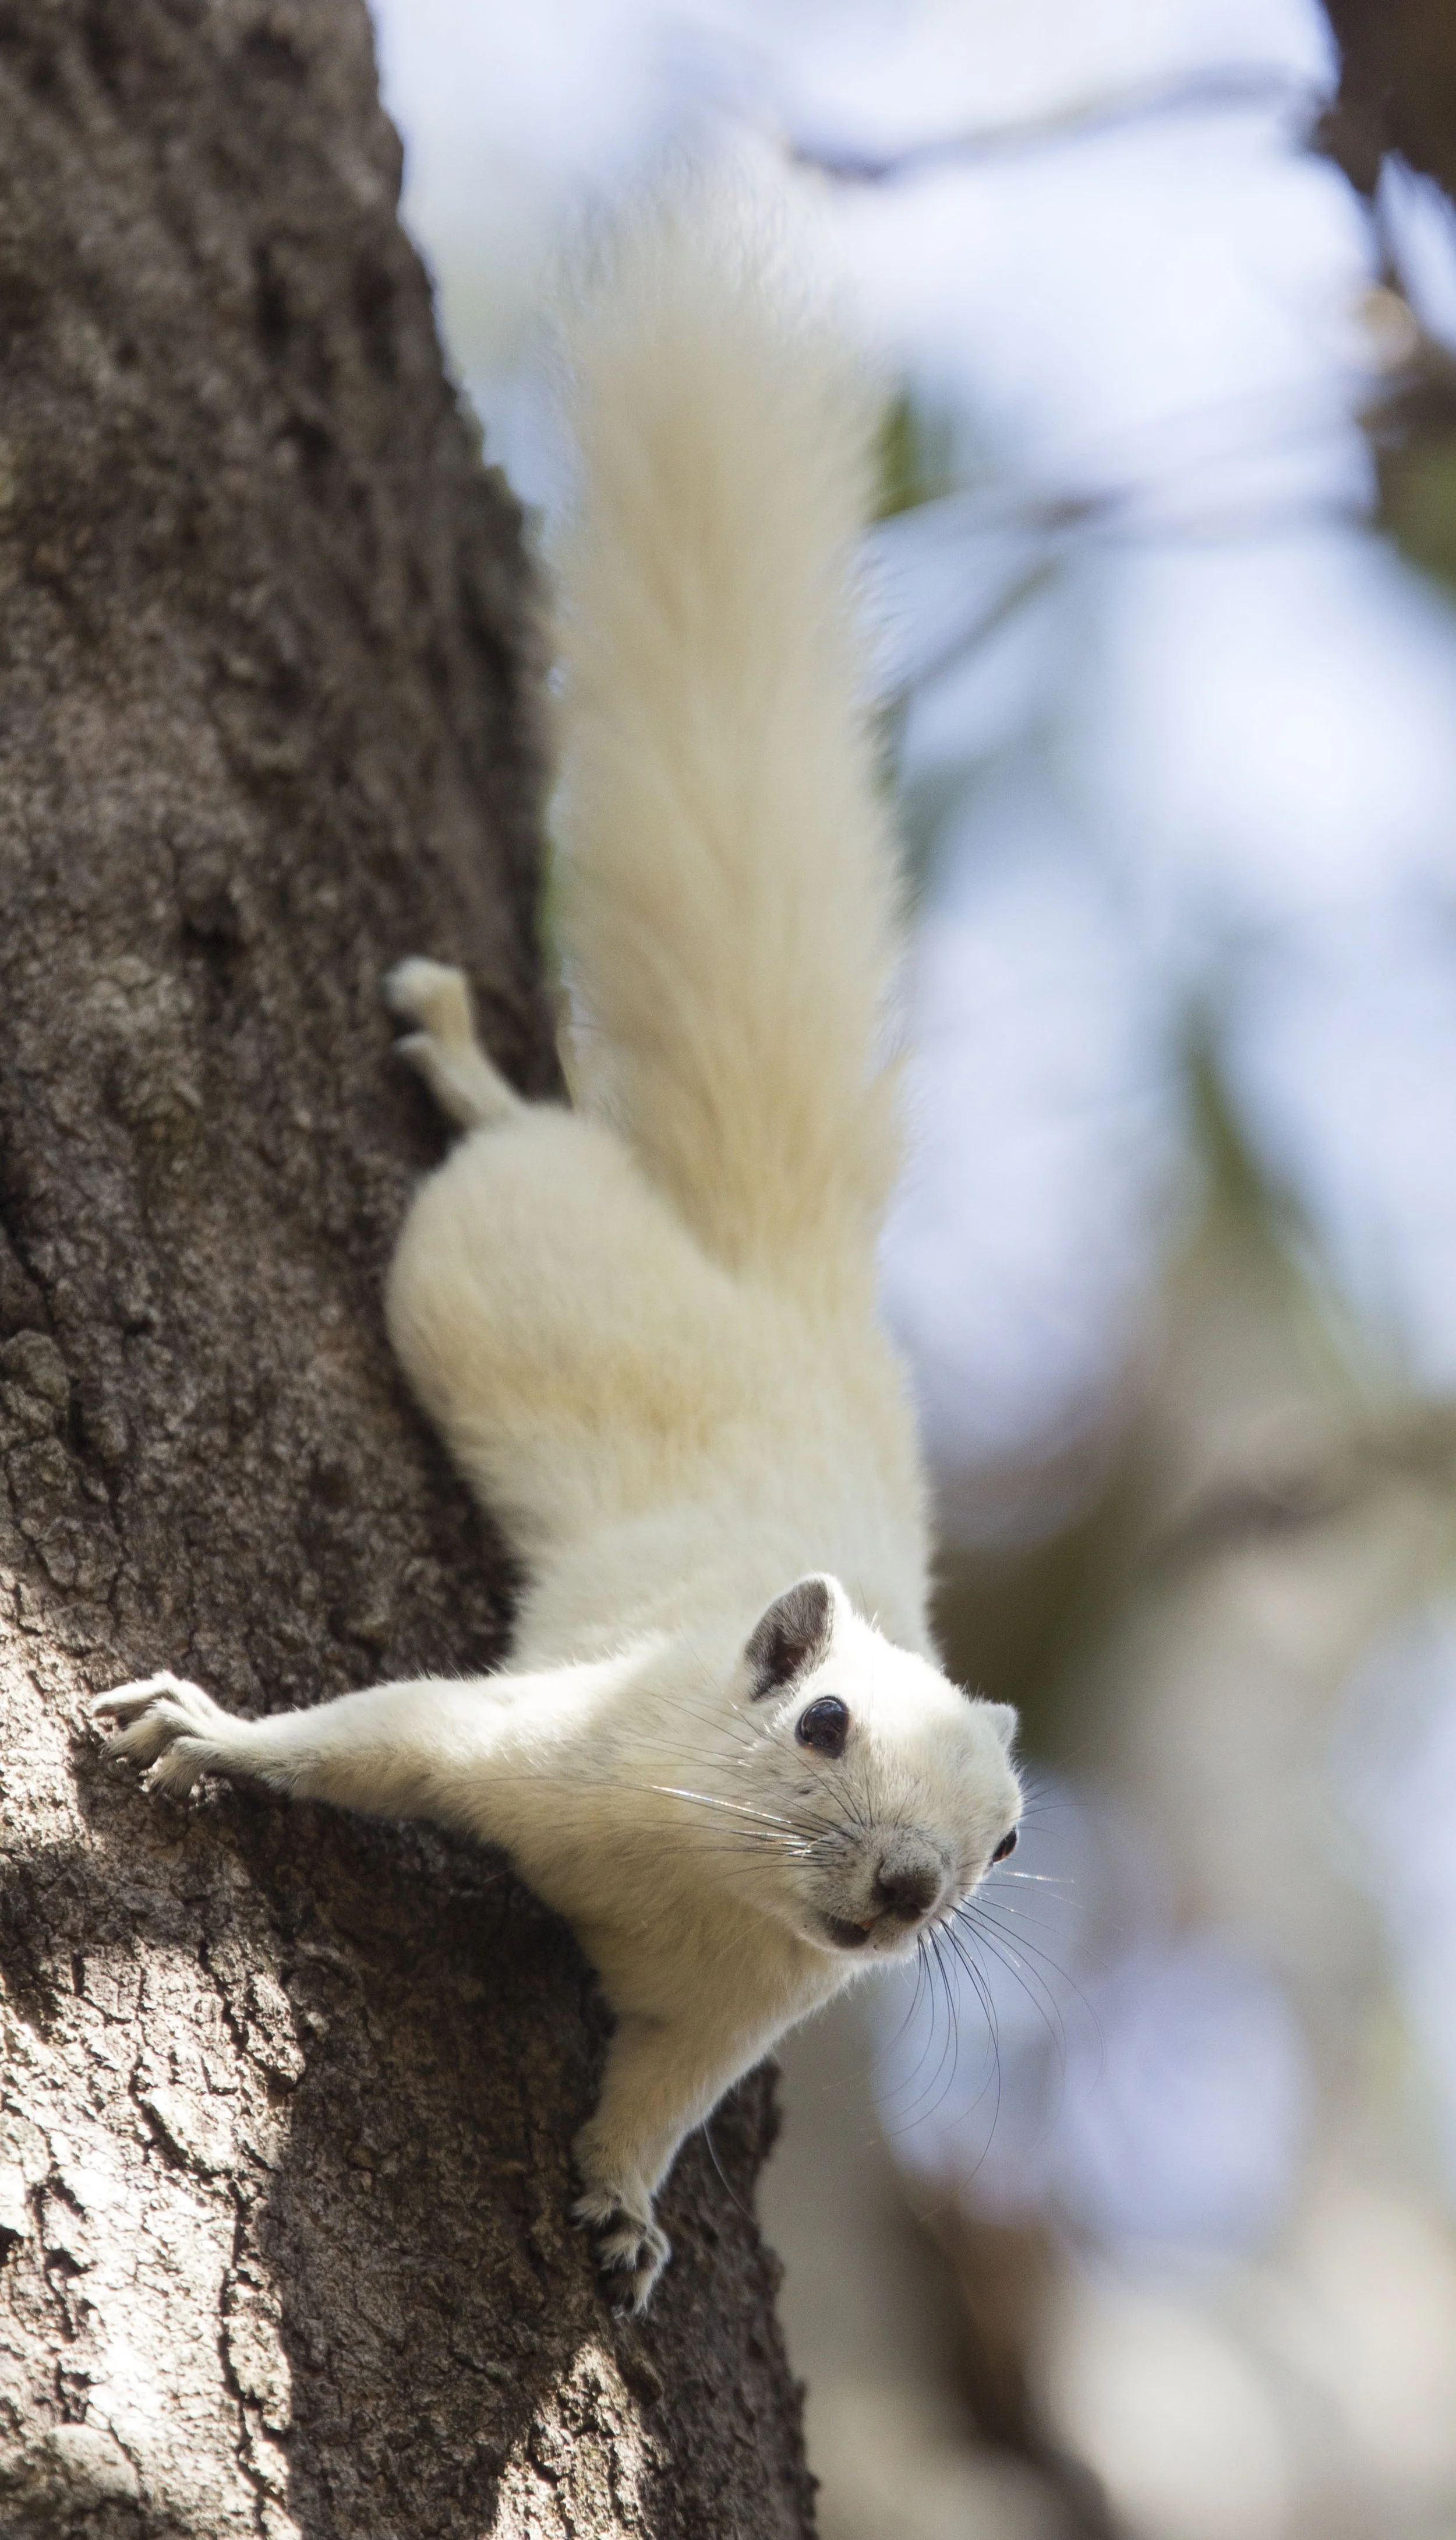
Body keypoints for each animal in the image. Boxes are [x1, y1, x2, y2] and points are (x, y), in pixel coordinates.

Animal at [93, 191, 1022, 2313]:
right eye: (820, 1722)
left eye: (1007, 1851)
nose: (902, 1895)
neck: (708, 1868)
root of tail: (783, 1278)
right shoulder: (542, 1744)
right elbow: (383, 1738)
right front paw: (217, 1735)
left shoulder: (737, 2006)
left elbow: (662, 2091)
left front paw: (621, 2205)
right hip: (495, 1240)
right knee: (513, 1140)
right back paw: (461, 1054)